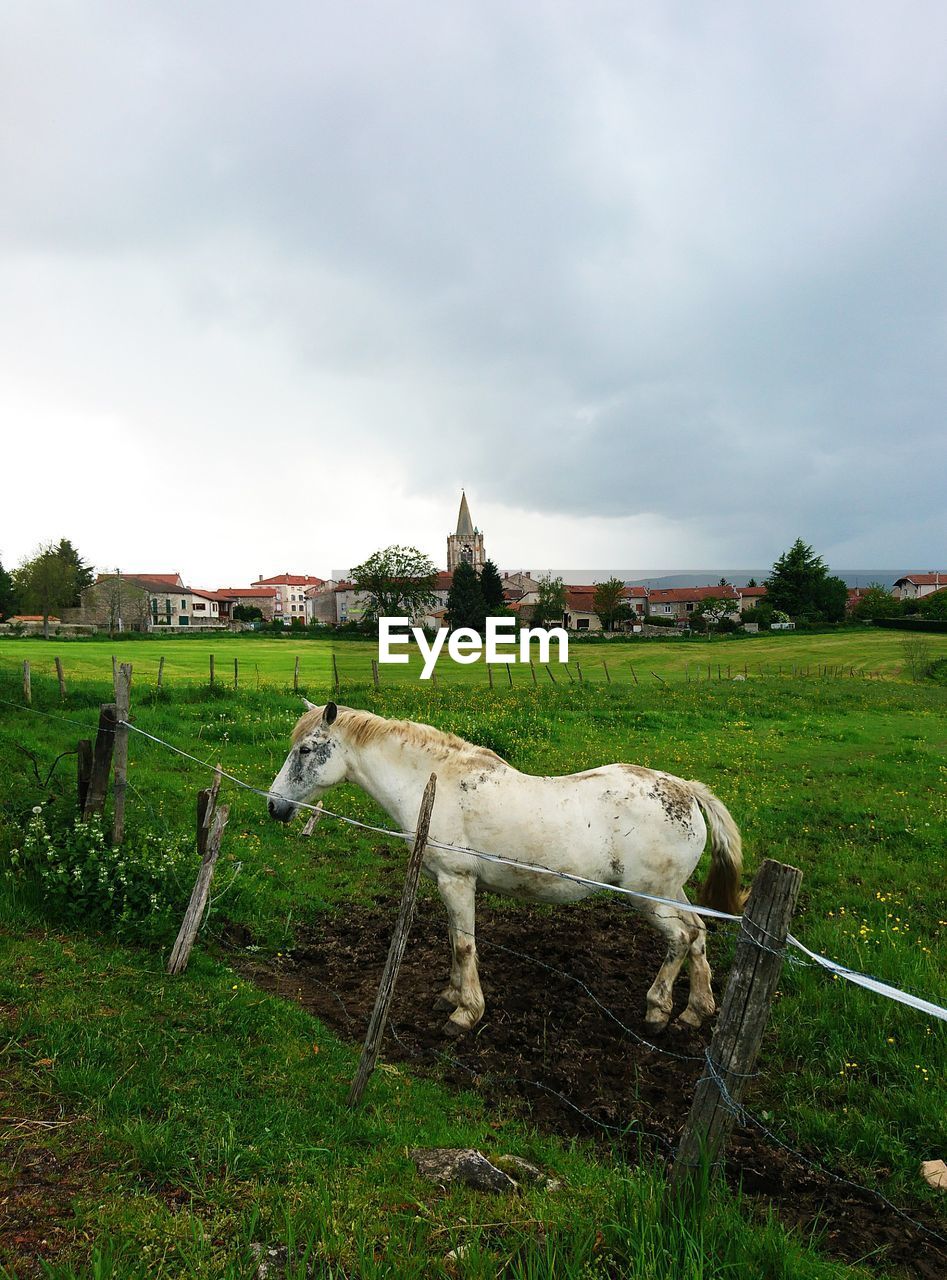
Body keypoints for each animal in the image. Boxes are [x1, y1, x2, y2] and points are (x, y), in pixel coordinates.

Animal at [262, 706, 742, 1034]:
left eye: (305, 749)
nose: (273, 806)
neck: (433, 783)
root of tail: (687, 790)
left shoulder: (457, 881)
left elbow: (464, 946)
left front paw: (464, 1013)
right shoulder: (446, 883)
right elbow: (455, 938)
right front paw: (448, 996)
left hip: (649, 899)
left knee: (680, 939)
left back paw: (658, 1010)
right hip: (671, 892)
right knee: (698, 933)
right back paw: (696, 1011)